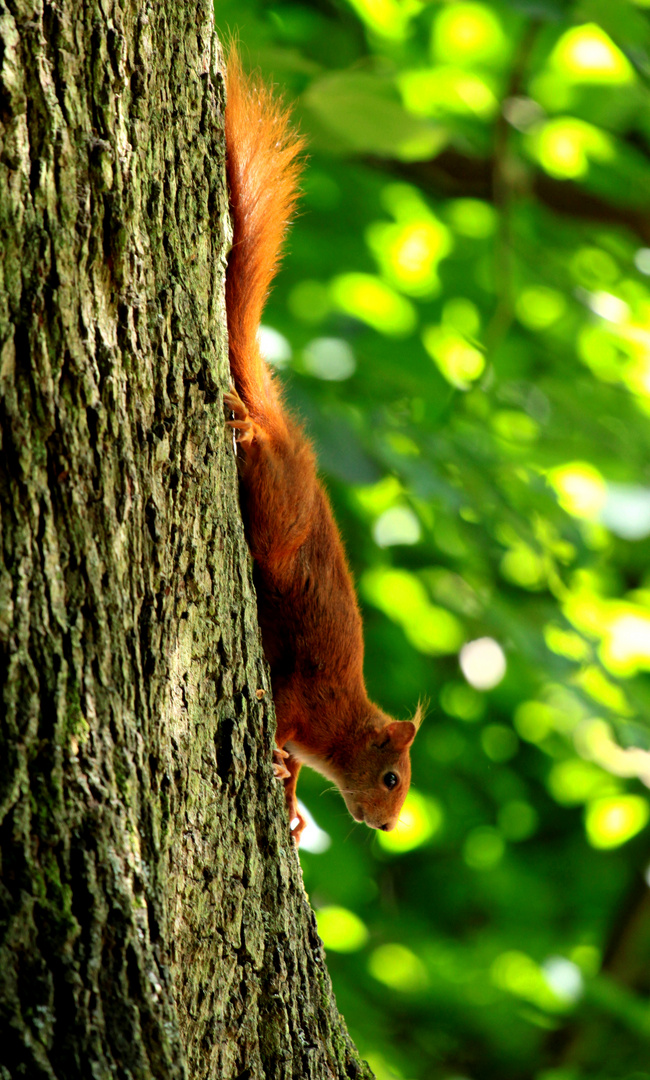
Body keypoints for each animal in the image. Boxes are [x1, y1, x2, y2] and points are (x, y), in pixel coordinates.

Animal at [221, 50, 421, 842]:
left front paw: (294, 804)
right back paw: (245, 429)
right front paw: (284, 775)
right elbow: (278, 718)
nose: (388, 826)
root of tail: (286, 439)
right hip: (278, 514)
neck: (343, 725)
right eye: (393, 776)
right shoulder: (307, 698)